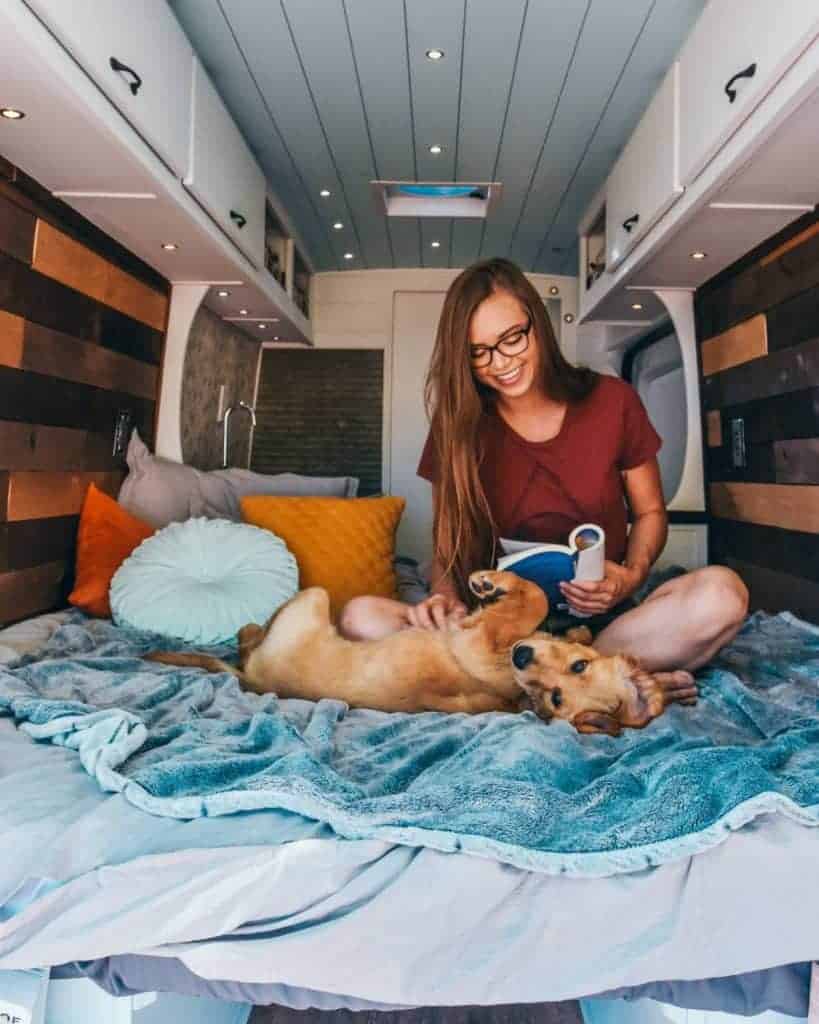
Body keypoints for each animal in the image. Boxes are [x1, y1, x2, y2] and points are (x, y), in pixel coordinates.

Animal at [144, 569, 696, 729]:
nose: (521, 658)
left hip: (312, 599)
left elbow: (533, 600)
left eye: (557, 699)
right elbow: (538, 605)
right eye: (578, 666)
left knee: (250, 637)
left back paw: (246, 631)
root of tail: (253, 679)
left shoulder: (479, 639)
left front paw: (493, 585)